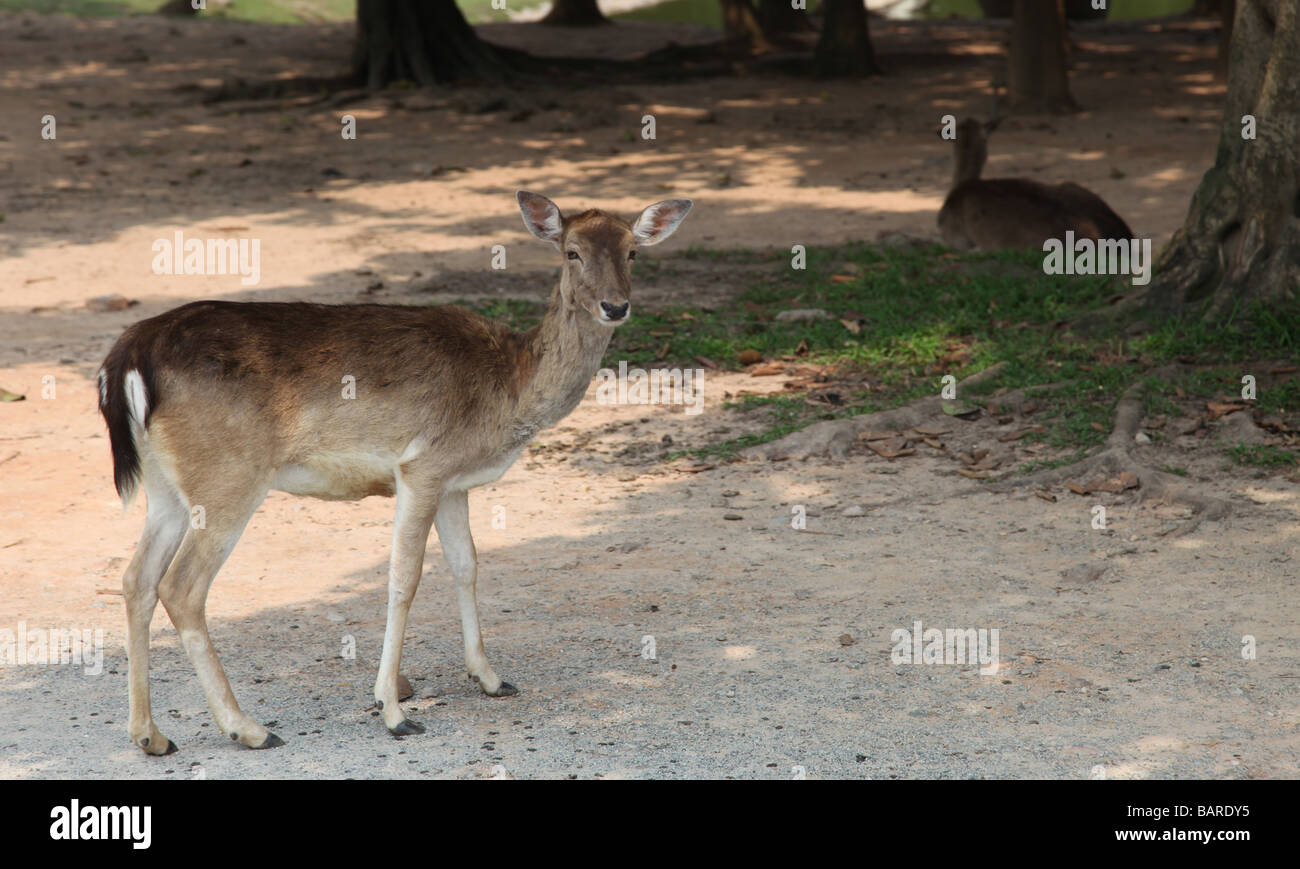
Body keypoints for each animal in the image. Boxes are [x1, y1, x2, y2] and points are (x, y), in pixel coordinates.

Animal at [102, 189, 696, 754]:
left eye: (633, 251)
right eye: (572, 251)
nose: (615, 306)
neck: (509, 390)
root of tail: (128, 355)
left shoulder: (455, 482)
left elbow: (467, 564)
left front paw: (491, 678)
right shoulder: (422, 466)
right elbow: (404, 577)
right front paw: (393, 711)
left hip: (166, 485)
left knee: (136, 579)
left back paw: (150, 735)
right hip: (228, 474)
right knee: (182, 586)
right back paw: (249, 728)